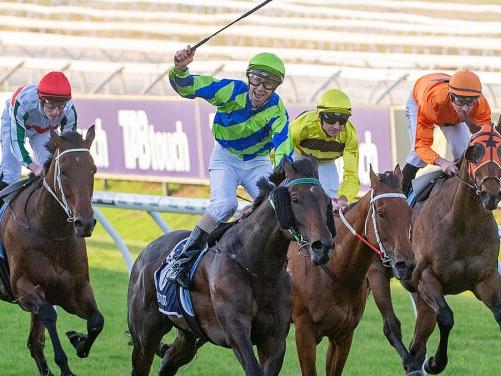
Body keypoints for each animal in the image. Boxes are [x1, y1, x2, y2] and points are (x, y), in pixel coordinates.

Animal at [0, 126, 102, 376]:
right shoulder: (23, 287)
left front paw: (78, 341)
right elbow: (49, 314)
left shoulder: (74, 288)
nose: (85, 223)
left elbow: (97, 320)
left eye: (93, 169)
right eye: (63, 171)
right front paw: (65, 366)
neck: (50, 232)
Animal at [127, 156, 334, 376]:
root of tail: (147, 250)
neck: (259, 269)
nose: (323, 246)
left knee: (169, 362)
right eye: (294, 198)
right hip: (145, 336)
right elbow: (253, 368)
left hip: (187, 335)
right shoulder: (236, 330)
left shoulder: (274, 339)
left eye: (325, 199)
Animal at [286, 166, 414, 374]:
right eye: (381, 213)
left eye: (409, 212)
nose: (407, 264)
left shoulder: (344, 334)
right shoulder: (304, 332)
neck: (337, 273)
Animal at [366, 122, 500, 374]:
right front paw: (436, 362)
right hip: (378, 273)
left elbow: (499, 313)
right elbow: (446, 317)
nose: (491, 193)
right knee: (392, 327)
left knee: (417, 344)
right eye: (475, 151)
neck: (462, 223)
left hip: (420, 300)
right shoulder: (425, 278)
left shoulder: (485, 279)